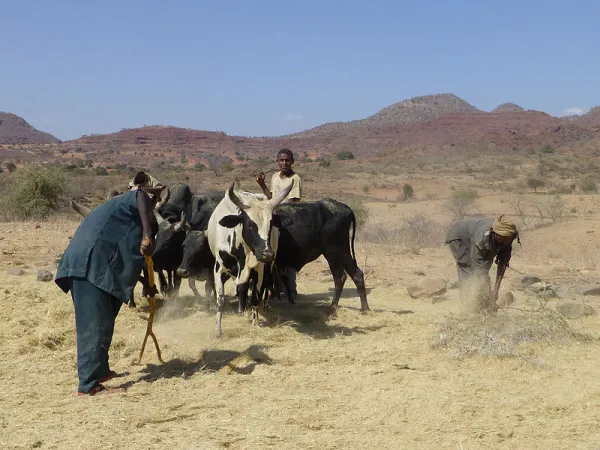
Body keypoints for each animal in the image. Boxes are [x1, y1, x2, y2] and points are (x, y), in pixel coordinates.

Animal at [207, 182, 292, 334]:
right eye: (250, 224)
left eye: (271, 224)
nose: (267, 254)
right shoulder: (219, 268)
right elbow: (220, 300)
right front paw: (218, 329)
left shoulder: (259, 269)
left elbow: (255, 297)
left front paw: (255, 321)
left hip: (268, 268)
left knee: (262, 287)